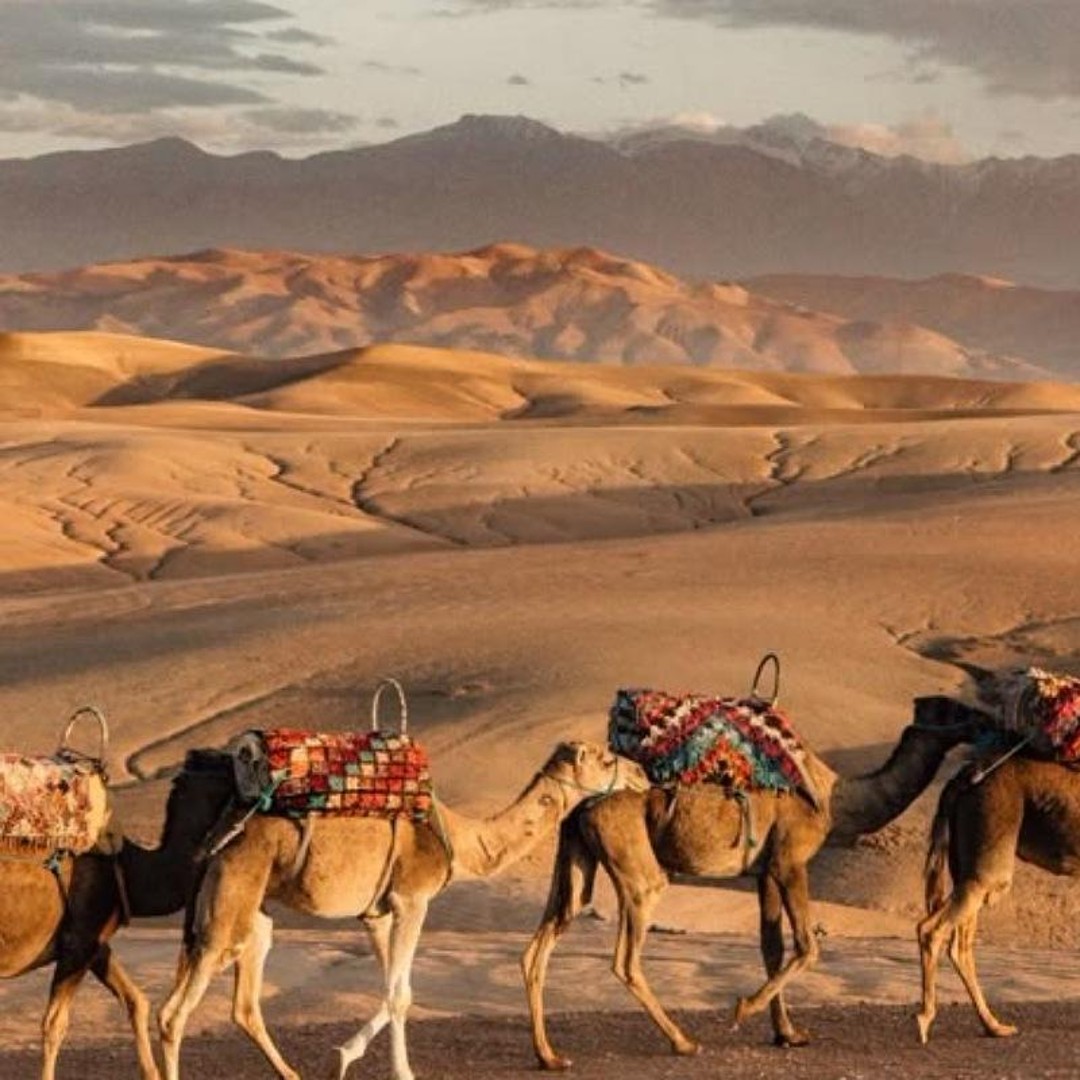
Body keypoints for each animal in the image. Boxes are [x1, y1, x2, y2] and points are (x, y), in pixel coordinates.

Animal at [0, 748, 238, 1080]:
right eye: (232, 762)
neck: (127, 867)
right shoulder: (79, 941)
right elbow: (54, 1025)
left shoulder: (96, 943)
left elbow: (136, 1001)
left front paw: (153, 1072)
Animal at [158, 740, 649, 1080]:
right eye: (605, 758)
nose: (642, 773)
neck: (460, 839)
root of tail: (214, 839)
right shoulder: (413, 897)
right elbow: (399, 994)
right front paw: (402, 1071)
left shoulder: (378, 912)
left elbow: (398, 988)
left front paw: (342, 1058)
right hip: (230, 901)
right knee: (173, 1014)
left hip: (250, 912)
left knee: (242, 1004)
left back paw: (292, 1074)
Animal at [521, 695, 990, 1069]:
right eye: (954, 709)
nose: (986, 720)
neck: (834, 799)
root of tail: (584, 804)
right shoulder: (790, 859)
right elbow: (807, 945)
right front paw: (743, 1009)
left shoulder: (764, 869)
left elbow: (772, 946)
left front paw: (788, 1034)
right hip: (636, 866)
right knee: (626, 956)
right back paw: (683, 1041)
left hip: (577, 854)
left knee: (546, 937)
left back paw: (549, 1056)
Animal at [915, 754, 1080, 1042]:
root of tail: (965, 777)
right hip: (990, 855)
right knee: (932, 929)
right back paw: (925, 1020)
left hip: (967, 864)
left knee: (960, 945)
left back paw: (994, 1026)